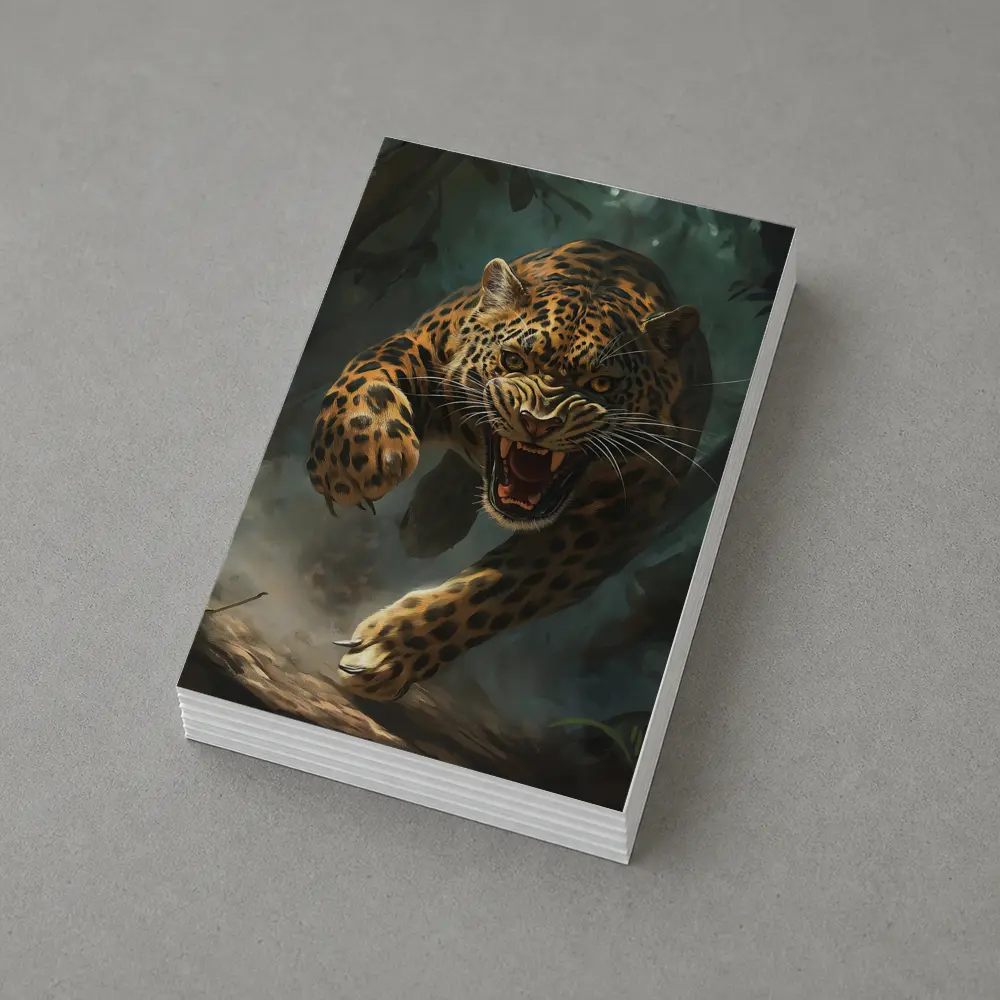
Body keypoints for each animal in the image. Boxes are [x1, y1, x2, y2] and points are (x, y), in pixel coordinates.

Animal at [308, 239, 713, 701]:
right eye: (513, 359)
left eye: (602, 385)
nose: (537, 421)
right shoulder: (427, 343)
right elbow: (375, 368)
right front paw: (355, 452)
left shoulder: (614, 523)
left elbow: (497, 592)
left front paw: (391, 649)